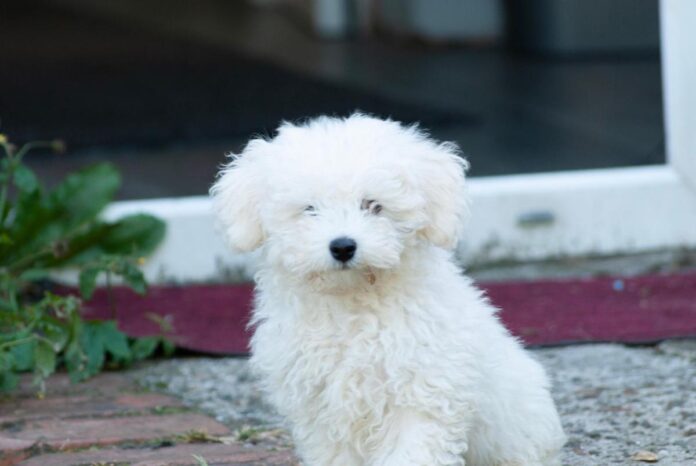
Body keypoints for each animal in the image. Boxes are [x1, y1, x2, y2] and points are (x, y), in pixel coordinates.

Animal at [212, 114, 564, 466]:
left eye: (373, 205)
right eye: (310, 209)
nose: (342, 246)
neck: (353, 305)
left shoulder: (421, 393)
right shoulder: (320, 409)